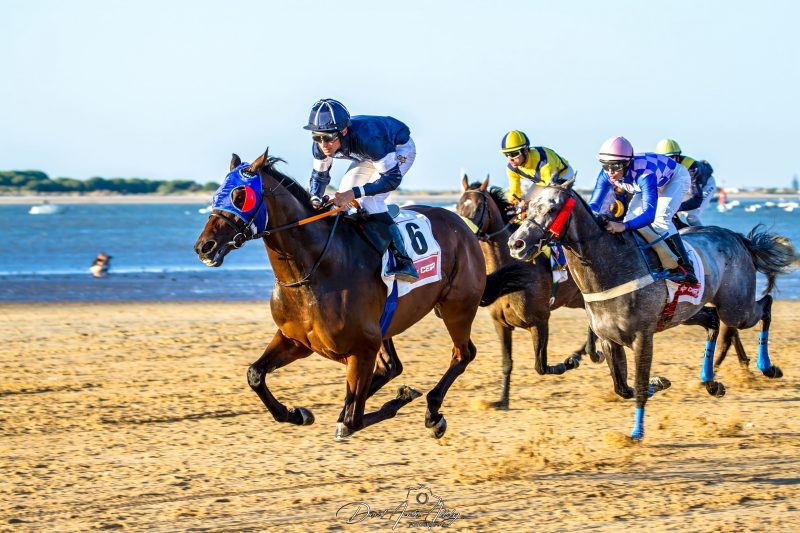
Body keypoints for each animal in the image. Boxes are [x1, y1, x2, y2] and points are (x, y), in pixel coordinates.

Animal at [194, 151, 529, 440]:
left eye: (240, 196)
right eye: (217, 195)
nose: (204, 247)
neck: (315, 270)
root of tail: (464, 227)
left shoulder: (363, 348)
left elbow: (351, 421)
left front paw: (398, 399)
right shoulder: (296, 340)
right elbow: (255, 374)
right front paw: (297, 413)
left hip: (456, 308)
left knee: (462, 354)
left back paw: (433, 413)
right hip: (389, 325)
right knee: (392, 367)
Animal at [456, 175, 602, 408]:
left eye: (478, 208)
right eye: (458, 205)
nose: (463, 232)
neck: (512, 273)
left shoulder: (540, 321)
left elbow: (541, 366)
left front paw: (565, 365)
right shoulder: (501, 324)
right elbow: (507, 362)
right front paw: (502, 400)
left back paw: (584, 354)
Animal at [507, 179, 796, 440]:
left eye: (552, 208)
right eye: (528, 207)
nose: (516, 243)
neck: (611, 268)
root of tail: (736, 237)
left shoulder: (642, 337)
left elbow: (638, 383)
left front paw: (637, 430)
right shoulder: (609, 339)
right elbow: (623, 387)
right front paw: (659, 382)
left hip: (736, 307)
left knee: (765, 305)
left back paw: (767, 366)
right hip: (690, 312)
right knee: (713, 321)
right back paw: (710, 381)